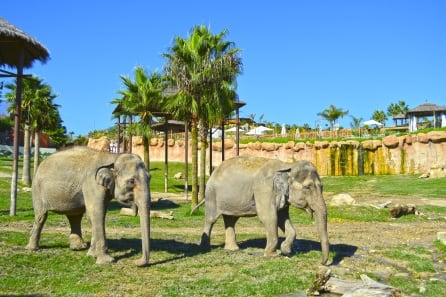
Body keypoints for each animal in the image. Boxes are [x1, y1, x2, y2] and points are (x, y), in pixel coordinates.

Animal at [200, 155, 330, 264]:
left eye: (322, 186)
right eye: (308, 187)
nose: (322, 263)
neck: (287, 165)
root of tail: (214, 171)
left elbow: (282, 218)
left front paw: (285, 250)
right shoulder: (264, 190)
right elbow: (269, 217)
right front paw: (272, 255)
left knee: (231, 220)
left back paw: (233, 249)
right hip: (211, 194)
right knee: (211, 219)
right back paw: (206, 248)